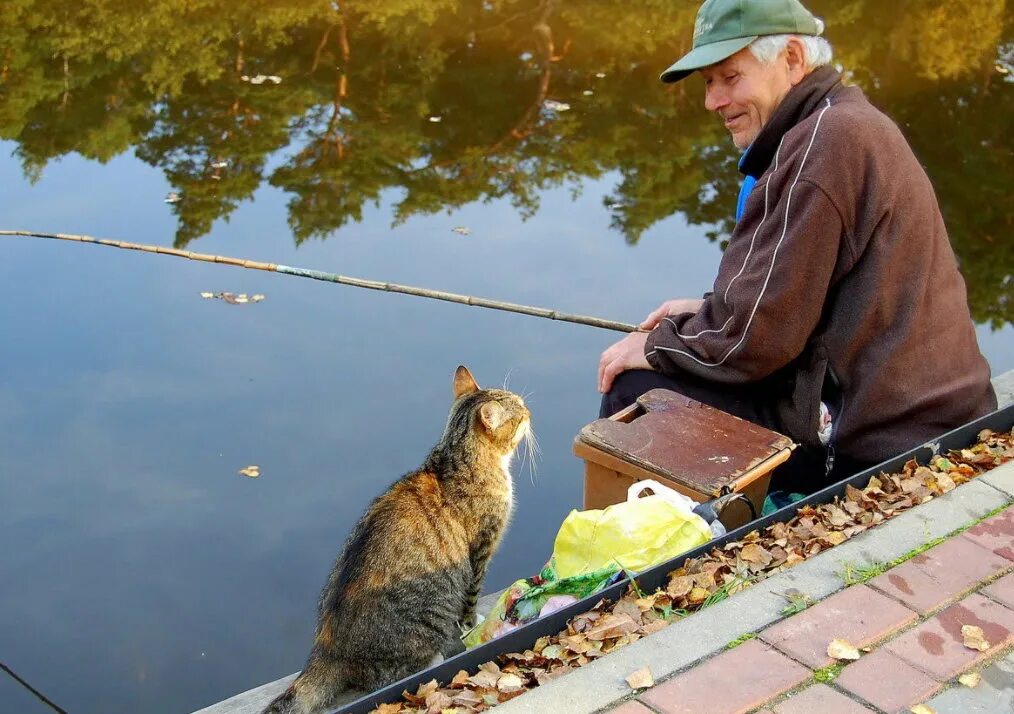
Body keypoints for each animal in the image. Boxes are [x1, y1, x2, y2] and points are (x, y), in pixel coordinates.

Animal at [263, 365, 531, 709]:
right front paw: (472, 624)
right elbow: (470, 601)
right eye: (520, 412)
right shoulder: (481, 551)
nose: (530, 411)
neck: (454, 458)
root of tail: (328, 650)